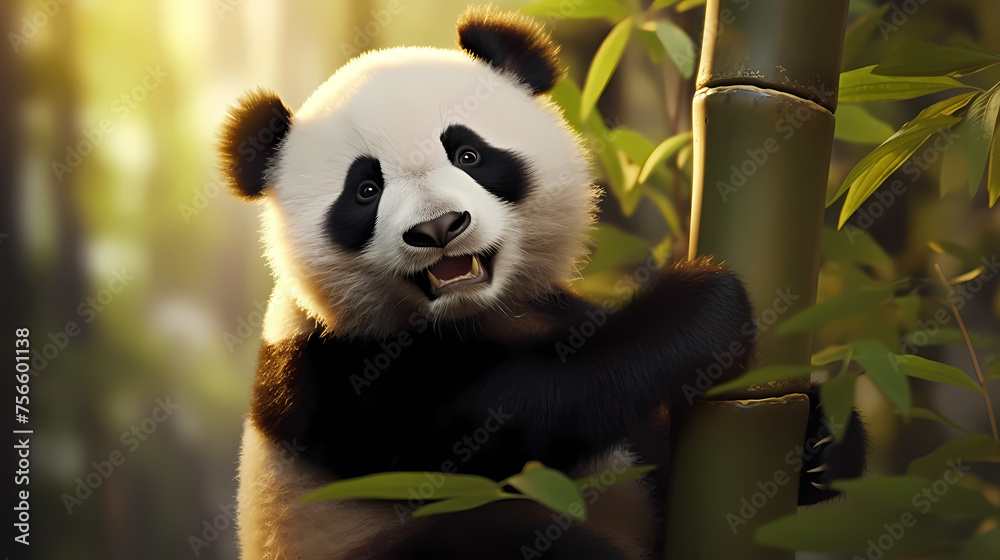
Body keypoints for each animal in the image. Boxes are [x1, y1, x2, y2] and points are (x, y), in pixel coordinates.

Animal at [218, 7, 865, 559]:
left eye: (469, 154)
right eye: (366, 189)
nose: (439, 228)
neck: (477, 314)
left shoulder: (552, 311)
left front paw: (821, 442)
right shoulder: (342, 377)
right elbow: (512, 415)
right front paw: (704, 304)